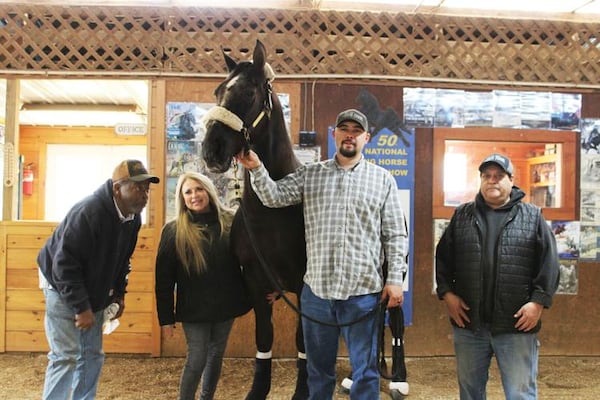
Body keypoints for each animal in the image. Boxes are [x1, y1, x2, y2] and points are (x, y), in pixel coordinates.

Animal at [202, 39, 308, 398]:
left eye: (248, 92)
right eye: (218, 91)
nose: (211, 149)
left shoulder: (305, 287)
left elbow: (304, 341)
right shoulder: (256, 283)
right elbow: (264, 340)